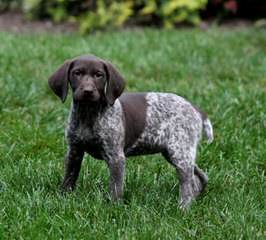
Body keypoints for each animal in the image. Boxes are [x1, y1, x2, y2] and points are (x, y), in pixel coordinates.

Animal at [48, 54, 214, 208]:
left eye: (99, 75)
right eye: (77, 73)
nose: (88, 91)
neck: (88, 113)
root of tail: (194, 108)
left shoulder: (116, 157)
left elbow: (115, 187)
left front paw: (113, 207)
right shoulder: (74, 150)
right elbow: (69, 177)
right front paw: (63, 198)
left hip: (179, 151)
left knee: (187, 182)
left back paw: (183, 207)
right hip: (174, 152)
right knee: (199, 177)